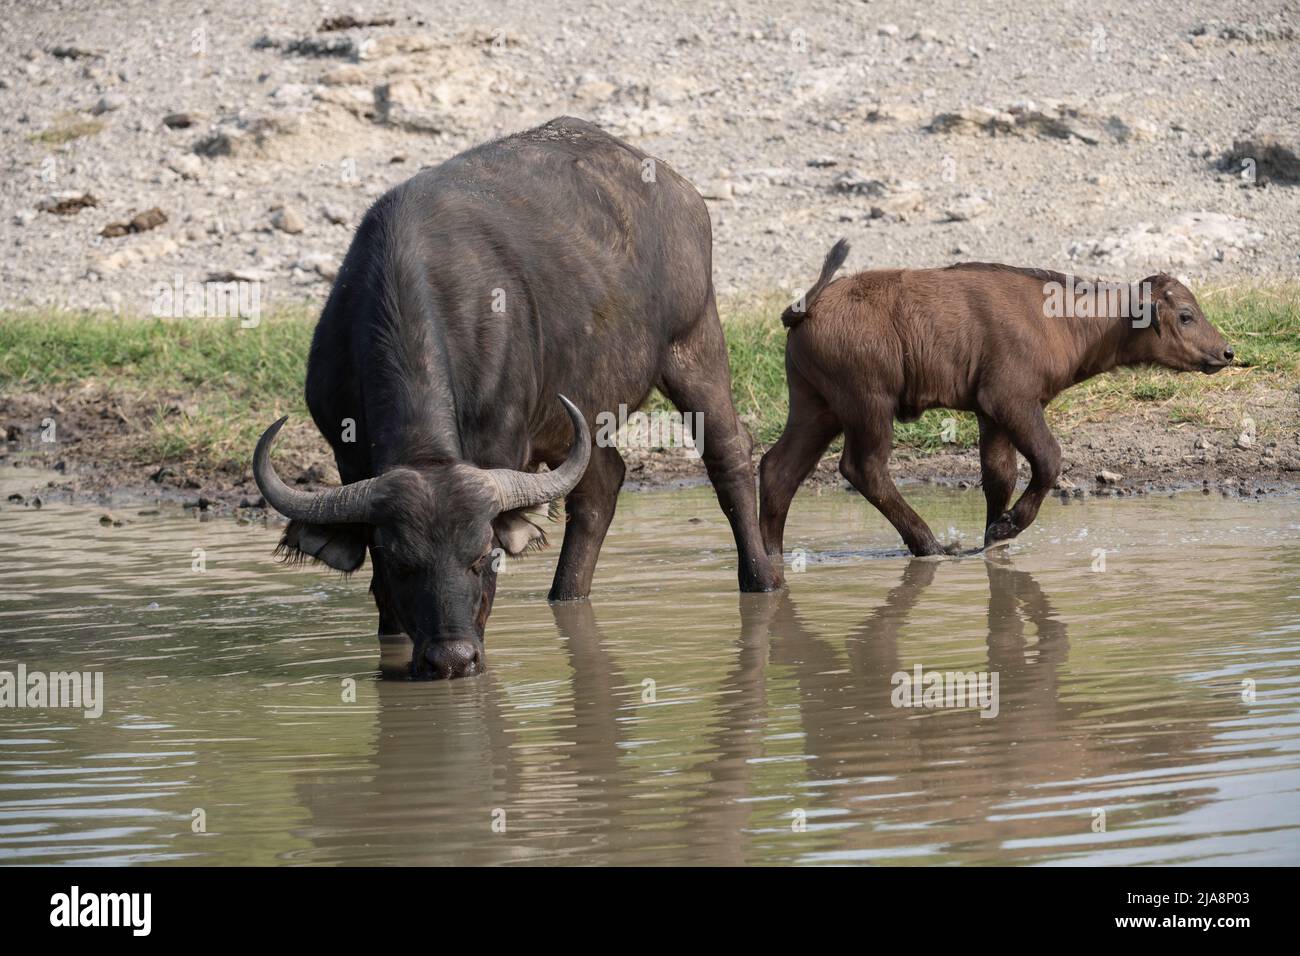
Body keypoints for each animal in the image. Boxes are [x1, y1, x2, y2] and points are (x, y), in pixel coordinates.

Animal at [253, 117, 780, 679]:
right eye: (400, 562)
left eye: (483, 556)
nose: (453, 659)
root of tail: (681, 190)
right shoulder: (348, 456)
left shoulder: (499, 446)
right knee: (600, 486)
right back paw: (565, 595)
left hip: (696, 342)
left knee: (728, 453)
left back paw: (762, 579)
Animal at [759, 239, 1234, 560]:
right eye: (1186, 316)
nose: (1226, 352)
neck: (1062, 320)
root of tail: (808, 306)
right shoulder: (1013, 402)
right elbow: (1048, 461)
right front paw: (1007, 528)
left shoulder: (990, 415)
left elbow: (998, 475)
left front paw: (993, 539)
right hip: (869, 408)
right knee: (864, 469)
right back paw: (931, 545)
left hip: (817, 410)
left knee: (779, 469)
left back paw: (768, 558)